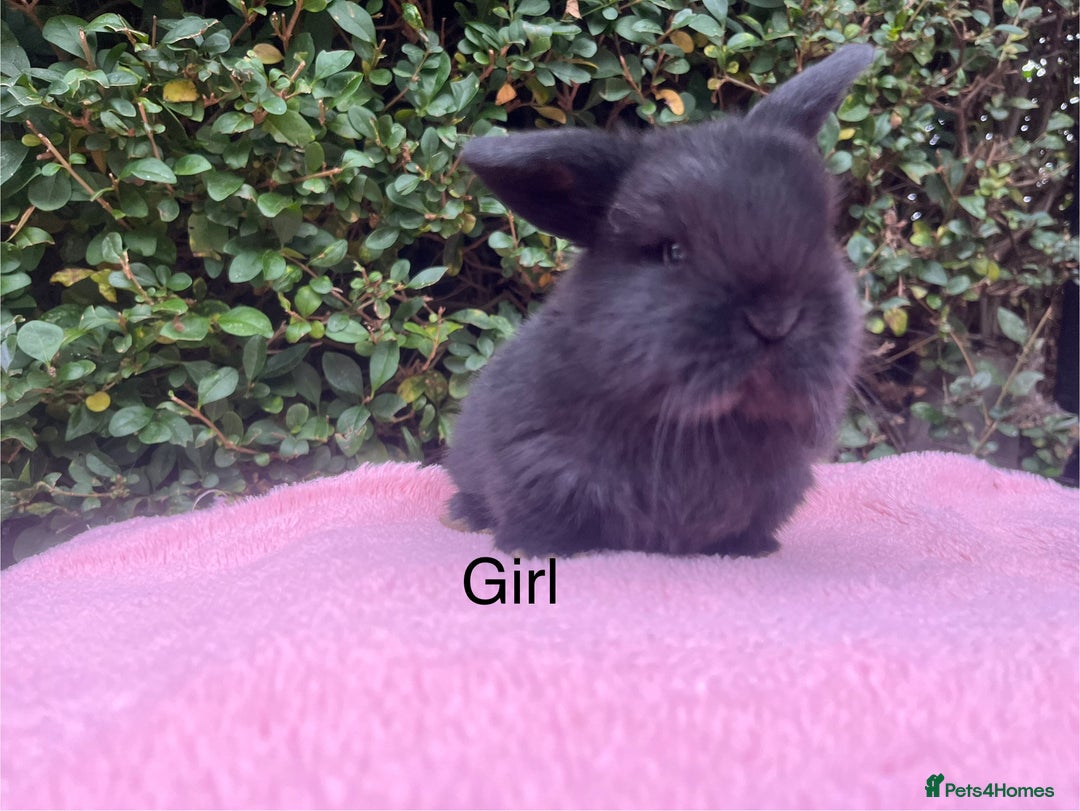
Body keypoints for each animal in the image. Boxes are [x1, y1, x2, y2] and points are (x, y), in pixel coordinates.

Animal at [444, 44, 874, 557]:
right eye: (671, 252)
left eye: (823, 235)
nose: (776, 320)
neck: (708, 427)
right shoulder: (535, 463)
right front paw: (534, 548)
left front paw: (750, 549)